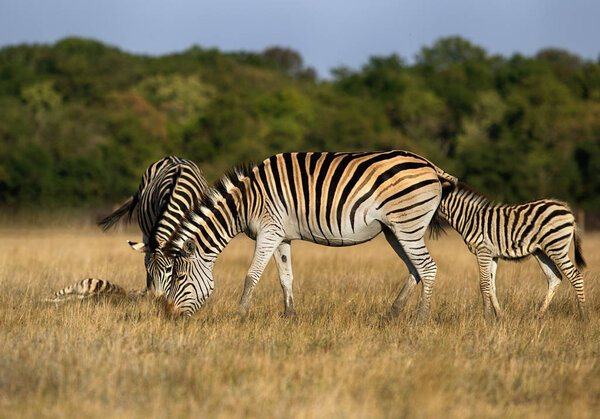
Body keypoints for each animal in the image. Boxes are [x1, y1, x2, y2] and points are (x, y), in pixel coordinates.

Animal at [98, 156, 209, 296]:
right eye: (151, 271)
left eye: (169, 269)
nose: (159, 298)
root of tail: (171, 157)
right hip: (146, 232)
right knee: (146, 257)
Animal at [152, 153, 458, 320]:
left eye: (179, 276)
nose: (169, 316)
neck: (245, 202)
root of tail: (429, 165)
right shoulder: (281, 236)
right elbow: (285, 276)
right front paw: (290, 316)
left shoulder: (268, 231)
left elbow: (251, 275)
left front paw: (239, 316)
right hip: (395, 229)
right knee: (414, 269)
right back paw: (392, 314)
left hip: (407, 224)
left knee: (427, 268)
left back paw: (419, 320)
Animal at [434, 183, 588, 322]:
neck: (468, 217)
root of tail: (566, 208)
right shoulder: (492, 255)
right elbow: (491, 285)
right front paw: (499, 317)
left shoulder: (483, 251)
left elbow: (484, 284)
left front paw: (486, 319)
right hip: (542, 251)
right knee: (554, 278)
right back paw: (538, 316)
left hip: (556, 247)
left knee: (575, 276)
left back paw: (583, 317)